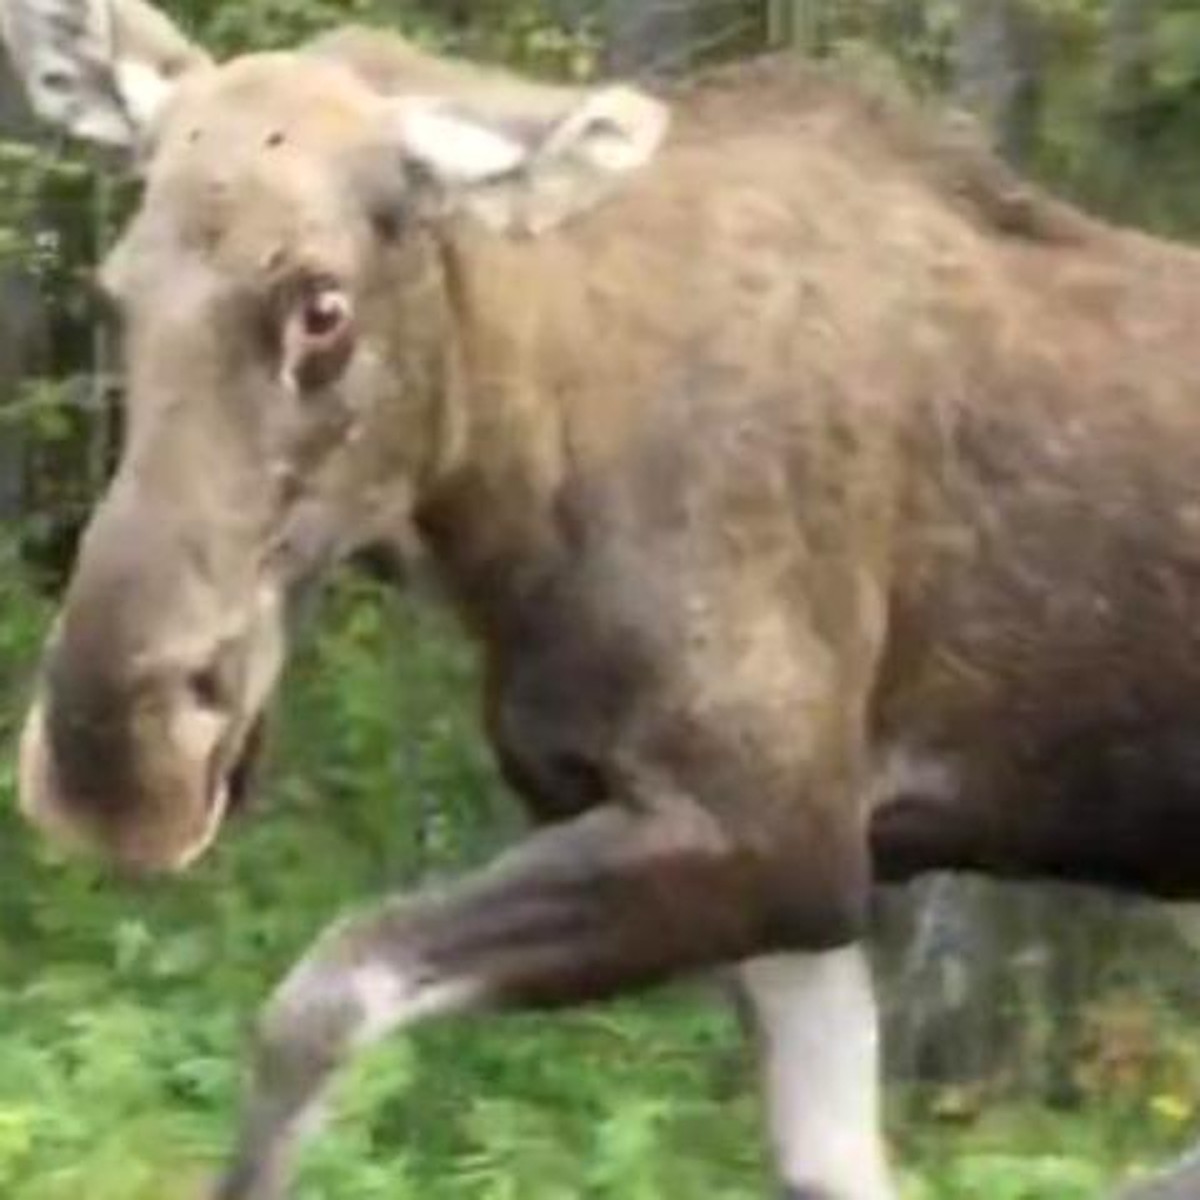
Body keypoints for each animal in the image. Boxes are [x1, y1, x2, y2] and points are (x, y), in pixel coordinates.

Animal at [7, 2, 1200, 1200]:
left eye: (322, 307)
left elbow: (320, 998)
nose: (115, 762)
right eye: (115, 289)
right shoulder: (803, 894)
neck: (524, 494)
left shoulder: (781, 834)